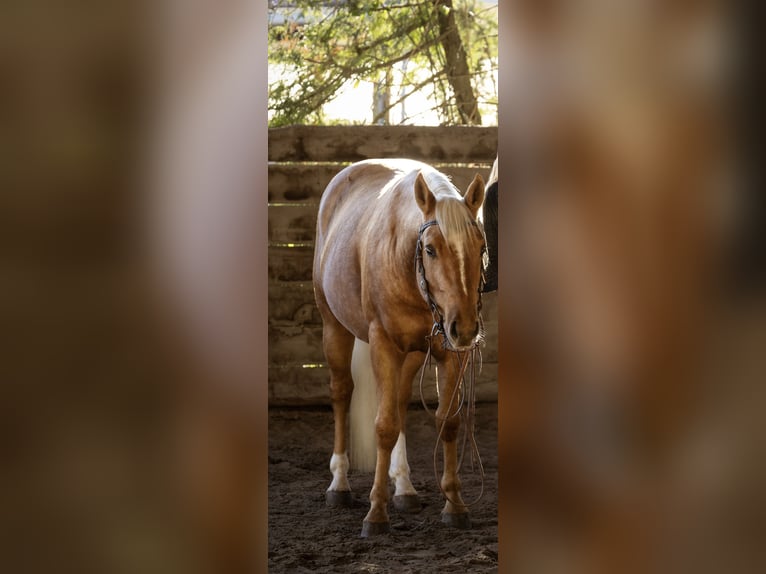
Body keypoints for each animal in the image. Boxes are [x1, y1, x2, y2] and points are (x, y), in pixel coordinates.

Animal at [312, 158, 487, 536]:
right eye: (430, 249)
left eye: (480, 247)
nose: (466, 328)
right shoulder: (383, 344)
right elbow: (385, 426)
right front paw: (376, 512)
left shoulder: (451, 355)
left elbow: (448, 422)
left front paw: (455, 504)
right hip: (334, 328)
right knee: (342, 392)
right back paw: (339, 484)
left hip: (413, 354)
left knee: (401, 401)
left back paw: (404, 488)